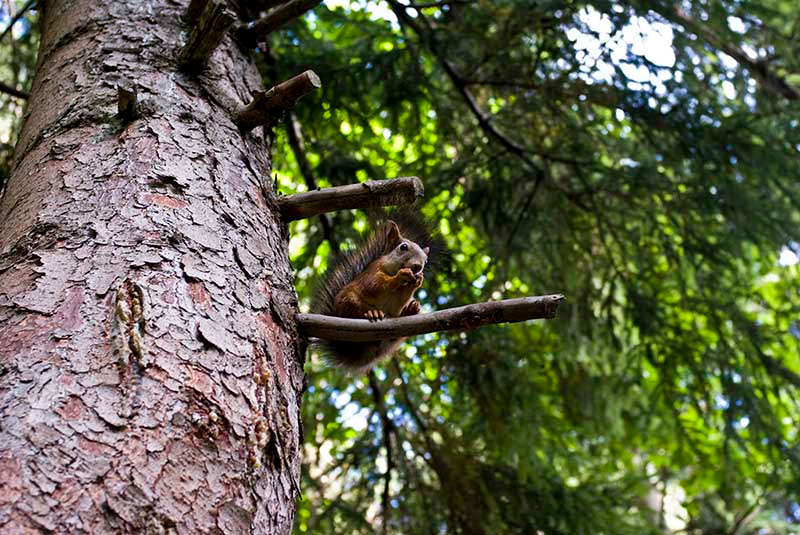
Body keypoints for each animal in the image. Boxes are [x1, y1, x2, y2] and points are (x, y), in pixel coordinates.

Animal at [312, 214, 440, 372]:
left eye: (426, 259)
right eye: (403, 247)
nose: (418, 267)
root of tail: (347, 347)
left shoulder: (397, 300)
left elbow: (399, 300)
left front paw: (417, 281)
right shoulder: (372, 272)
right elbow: (375, 285)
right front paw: (401, 276)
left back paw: (409, 311)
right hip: (348, 300)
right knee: (355, 311)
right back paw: (372, 313)